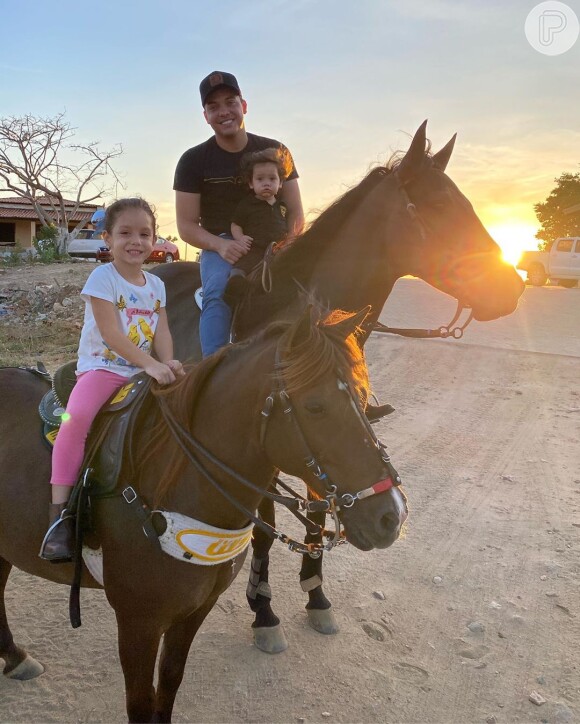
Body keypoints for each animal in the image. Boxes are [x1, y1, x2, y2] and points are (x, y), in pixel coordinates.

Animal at [0, 306, 408, 724]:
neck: (170, 486)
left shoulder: (195, 610)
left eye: (364, 398)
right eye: (315, 406)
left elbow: (168, 682)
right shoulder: (138, 622)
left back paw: (15, 658)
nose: (391, 516)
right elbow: (140, 702)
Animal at [152, 120, 524, 652]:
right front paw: (264, 610)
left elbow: (320, 513)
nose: (511, 287)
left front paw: (316, 596)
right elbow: (264, 531)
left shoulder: (325, 445)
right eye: (437, 205)